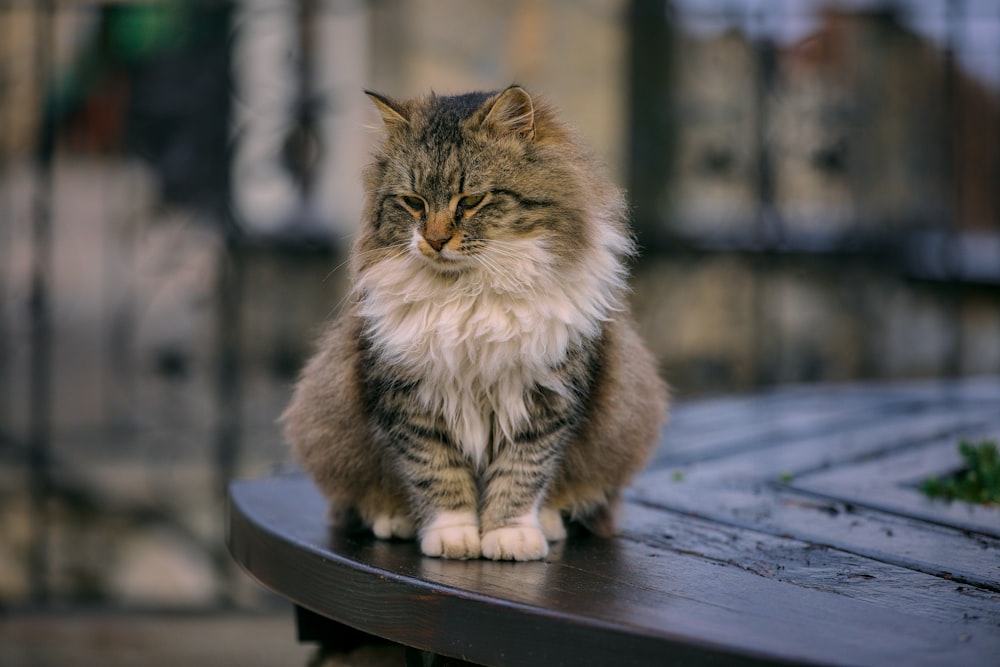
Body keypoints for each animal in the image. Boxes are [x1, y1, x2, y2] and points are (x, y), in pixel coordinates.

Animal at [282, 86, 668, 560]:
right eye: (413, 203)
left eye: (469, 201)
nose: (434, 240)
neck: (471, 292)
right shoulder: (411, 398)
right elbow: (436, 472)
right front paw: (454, 536)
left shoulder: (544, 399)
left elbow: (522, 475)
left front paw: (510, 536)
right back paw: (394, 519)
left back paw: (549, 522)